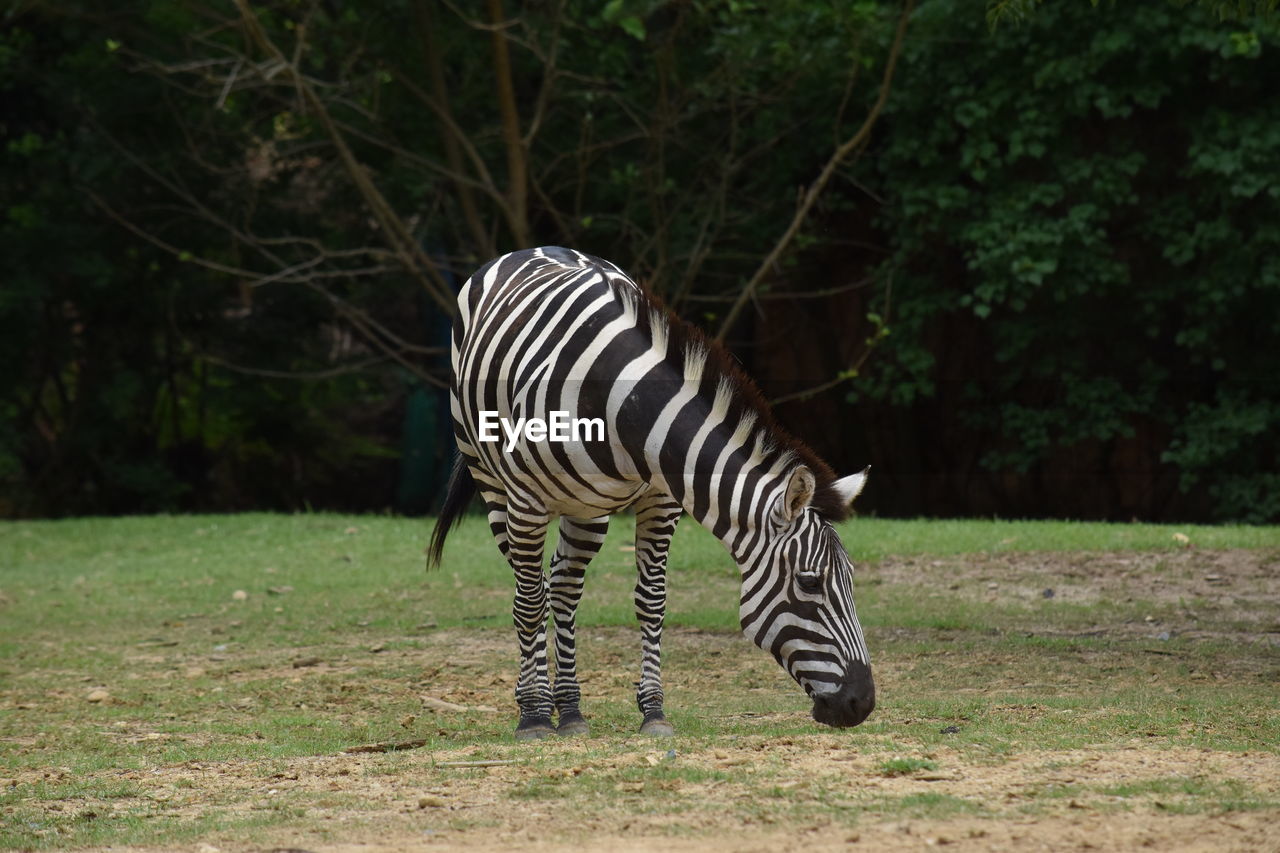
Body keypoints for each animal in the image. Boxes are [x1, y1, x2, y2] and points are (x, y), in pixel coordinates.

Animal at [424, 245, 875, 737]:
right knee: (532, 590)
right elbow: (528, 603)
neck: (623, 406)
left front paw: (654, 711)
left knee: (563, 587)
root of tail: (528, 249)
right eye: (810, 583)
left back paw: (572, 709)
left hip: (588, 507)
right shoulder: (526, 500)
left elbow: (651, 601)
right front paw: (534, 717)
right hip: (492, 483)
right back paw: (539, 703)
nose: (863, 704)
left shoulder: (662, 502)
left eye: (852, 580)